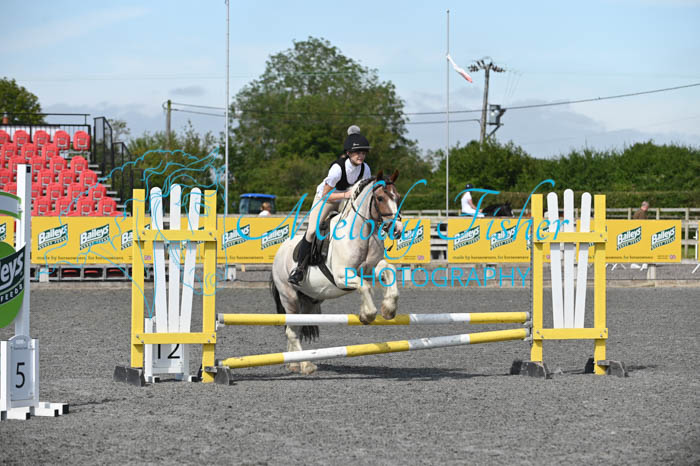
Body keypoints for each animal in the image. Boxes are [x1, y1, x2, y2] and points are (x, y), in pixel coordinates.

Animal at [270, 170, 404, 374]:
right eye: (380, 198)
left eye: (397, 197)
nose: (397, 229)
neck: (361, 232)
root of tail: (278, 252)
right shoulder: (342, 276)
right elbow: (365, 287)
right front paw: (367, 315)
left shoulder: (371, 269)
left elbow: (389, 271)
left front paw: (388, 310)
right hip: (290, 297)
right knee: (292, 330)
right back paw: (306, 365)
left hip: (310, 300)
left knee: (297, 328)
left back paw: (294, 363)